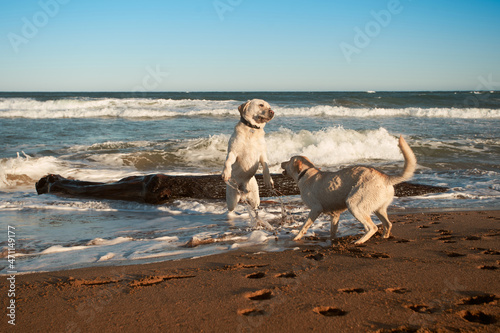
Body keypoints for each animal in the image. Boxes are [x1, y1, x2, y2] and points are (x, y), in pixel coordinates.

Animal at [282, 135, 418, 244]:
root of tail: (385, 177)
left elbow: (304, 226)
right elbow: (333, 230)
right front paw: (331, 240)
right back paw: (384, 237)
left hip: (354, 204)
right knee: (388, 224)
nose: (281, 162)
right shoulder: (335, 215)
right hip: (379, 208)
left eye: (289, 160)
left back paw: (359, 241)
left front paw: (296, 238)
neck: (305, 173)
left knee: (372, 227)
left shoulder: (315, 209)